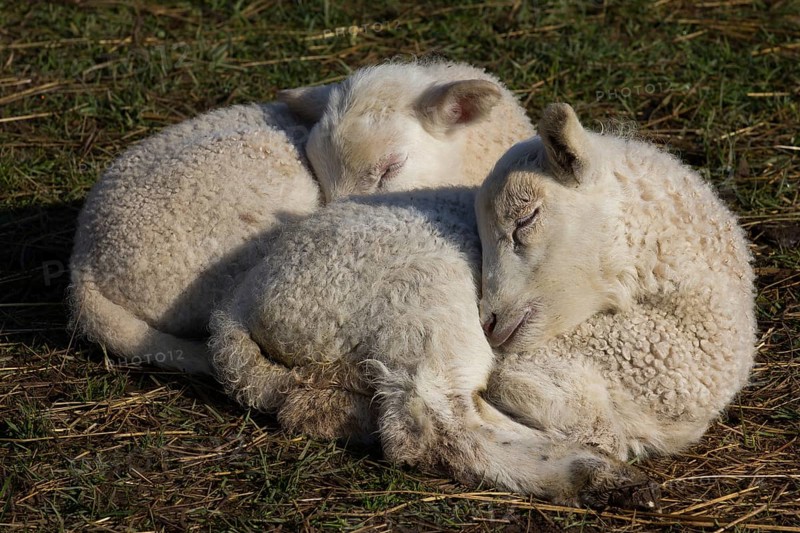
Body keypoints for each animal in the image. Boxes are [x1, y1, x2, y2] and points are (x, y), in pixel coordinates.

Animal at [210, 103, 755, 508]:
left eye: (525, 220)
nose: (490, 321)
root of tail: (238, 307)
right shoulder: (534, 368)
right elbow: (595, 425)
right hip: (418, 299)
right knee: (433, 425)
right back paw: (592, 476)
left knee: (325, 408)